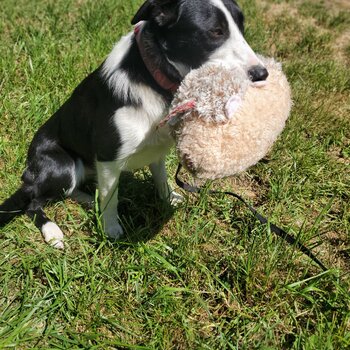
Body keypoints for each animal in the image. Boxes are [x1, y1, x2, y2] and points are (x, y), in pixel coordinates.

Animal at [0, 0, 268, 249]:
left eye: (242, 27)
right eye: (215, 31)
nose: (262, 74)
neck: (155, 78)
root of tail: (29, 169)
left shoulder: (156, 150)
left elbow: (160, 178)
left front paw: (168, 198)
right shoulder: (107, 156)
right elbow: (111, 197)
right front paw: (111, 229)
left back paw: (88, 198)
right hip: (62, 166)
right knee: (33, 202)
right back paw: (52, 230)